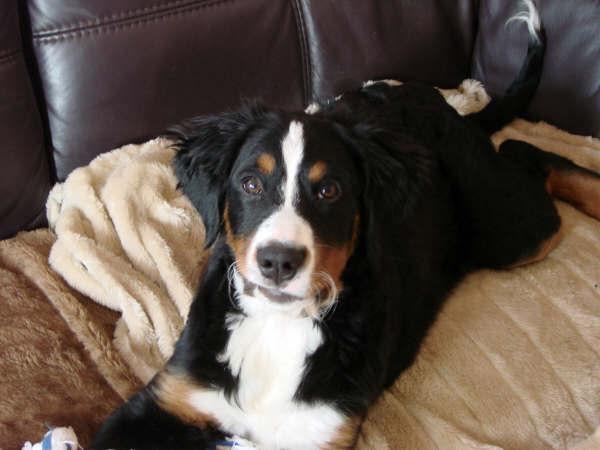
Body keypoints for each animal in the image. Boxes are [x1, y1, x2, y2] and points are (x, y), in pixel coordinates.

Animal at [90, 2, 600, 449]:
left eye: (329, 191)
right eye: (251, 183)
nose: (279, 261)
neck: (278, 327)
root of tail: (438, 103)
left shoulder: (318, 431)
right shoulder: (168, 399)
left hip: (508, 227)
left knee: (529, 155)